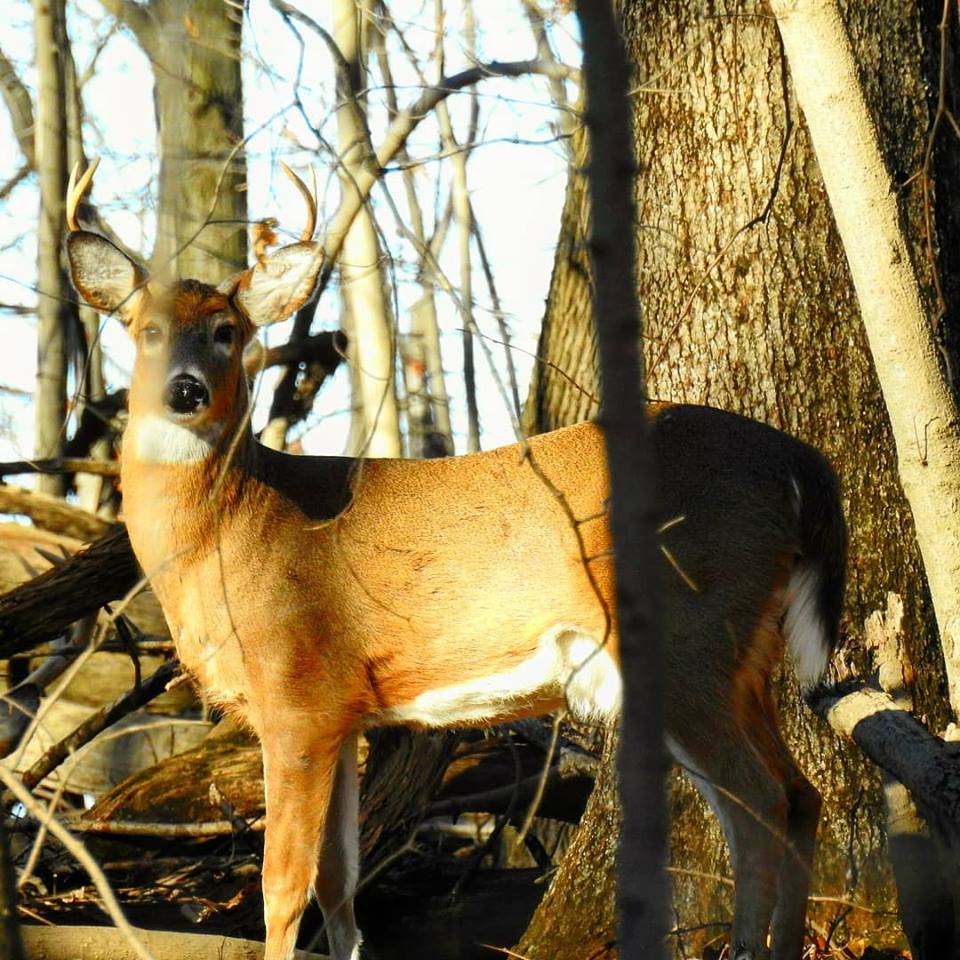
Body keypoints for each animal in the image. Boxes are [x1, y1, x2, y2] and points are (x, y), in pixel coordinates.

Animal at [64, 160, 845, 960]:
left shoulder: (298, 693)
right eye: (147, 331)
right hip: (742, 656)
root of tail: (800, 462)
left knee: (760, 802)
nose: (184, 389)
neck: (228, 535)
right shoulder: (344, 713)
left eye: (228, 332)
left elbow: (283, 885)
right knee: (798, 795)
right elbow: (339, 884)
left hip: (689, 639)